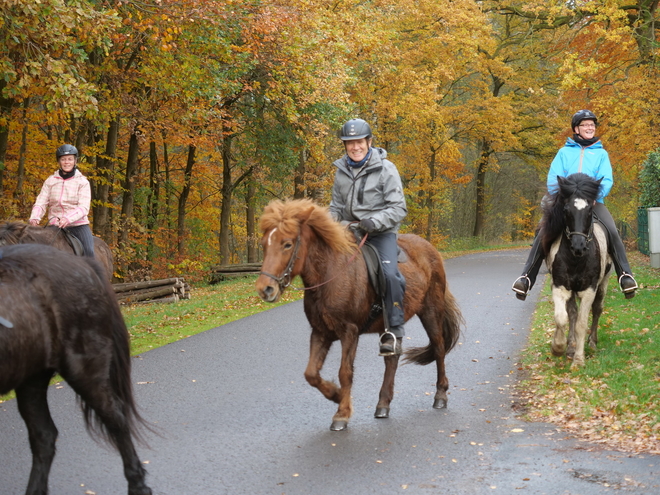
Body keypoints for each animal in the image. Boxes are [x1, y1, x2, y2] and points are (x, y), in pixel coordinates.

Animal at [0, 244, 151, 495]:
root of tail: (83, 264)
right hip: (31, 378)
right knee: (44, 436)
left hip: (84, 369)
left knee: (116, 419)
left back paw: (138, 486)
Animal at [255, 200, 462, 432]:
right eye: (264, 244)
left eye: (287, 244)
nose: (265, 289)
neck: (330, 273)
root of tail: (430, 249)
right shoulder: (320, 332)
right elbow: (311, 374)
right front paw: (335, 395)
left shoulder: (349, 332)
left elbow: (345, 372)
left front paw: (342, 414)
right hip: (388, 326)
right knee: (392, 358)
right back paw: (383, 404)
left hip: (430, 311)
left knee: (439, 348)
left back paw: (440, 395)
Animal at [540, 173, 612, 368]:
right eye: (566, 210)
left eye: (589, 211)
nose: (578, 246)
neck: (576, 260)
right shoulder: (560, 286)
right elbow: (562, 317)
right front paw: (558, 347)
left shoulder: (589, 290)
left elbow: (581, 323)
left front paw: (579, 360)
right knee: (571, 313)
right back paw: (570, 346)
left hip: (603, 284)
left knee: (597, 309)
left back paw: (592, 342)